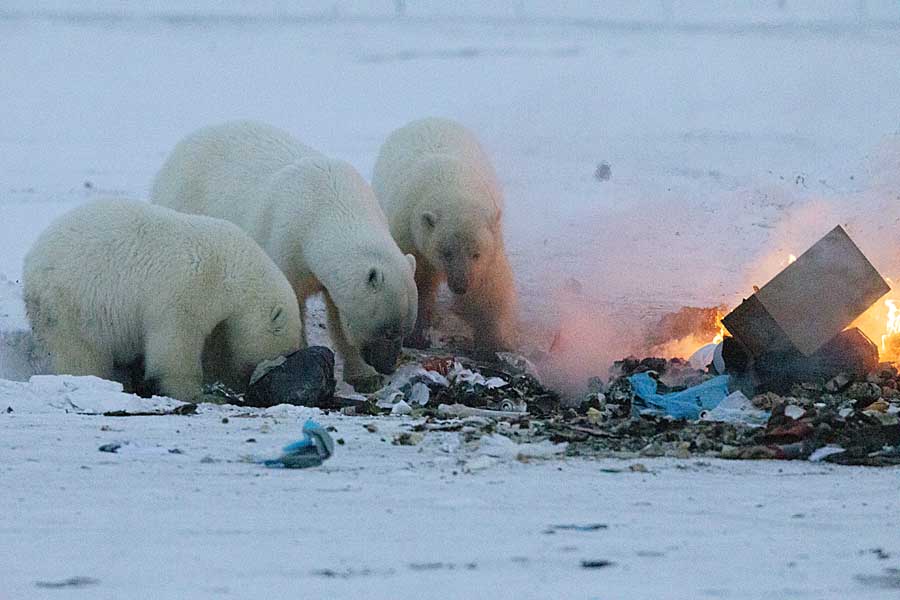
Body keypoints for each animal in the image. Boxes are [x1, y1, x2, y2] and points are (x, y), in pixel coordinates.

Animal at [22, 199, 304, 400]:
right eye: (284, 351)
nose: (255, 379)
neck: (231, 268)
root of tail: (33, 258)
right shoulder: (187, 289)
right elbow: (176, 342)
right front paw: (194, 392)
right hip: (71, 302)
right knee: (79, 351)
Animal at [153, 120, 420, 390]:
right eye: (387, 331)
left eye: (404, 331)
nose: (388, 367)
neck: (330, 205)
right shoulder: (287, 242)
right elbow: (294, 303)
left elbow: (339, 315)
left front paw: (366, 377)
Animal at [370, 117, 516, 352]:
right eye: (446, 253)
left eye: (476, 254)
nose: (460, 285)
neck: (449, 181)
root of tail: (426, 119)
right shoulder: (409, 235)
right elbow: (418, 283)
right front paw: (416, 337)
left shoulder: (492, 243)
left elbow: (489, 287)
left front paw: (493, 343)